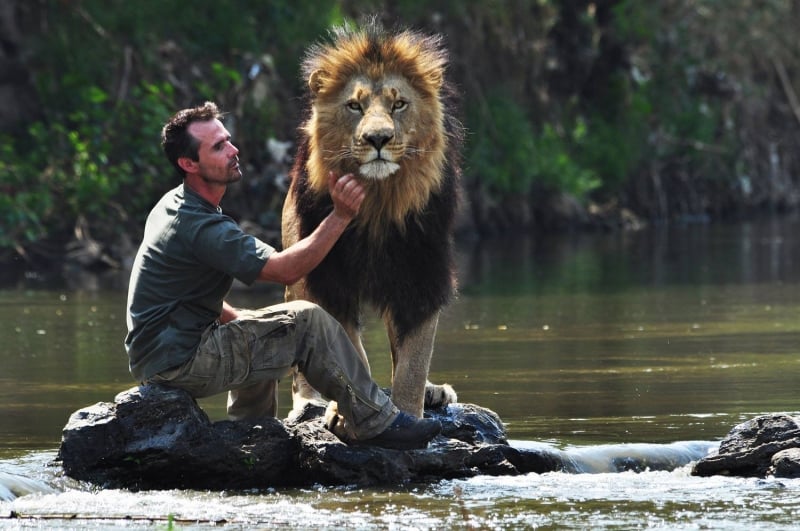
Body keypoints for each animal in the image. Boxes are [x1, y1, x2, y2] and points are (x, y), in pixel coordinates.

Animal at [282, 18, 462, 424]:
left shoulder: (422, 275)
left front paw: (409, 413)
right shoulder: (330, 279)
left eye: (398, 104)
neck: (379, 204)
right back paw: (309, 402)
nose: (377, 138)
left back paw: (435, 392)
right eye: (354, 105)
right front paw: (350, 412)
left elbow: (412, 365)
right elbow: (350, 354)